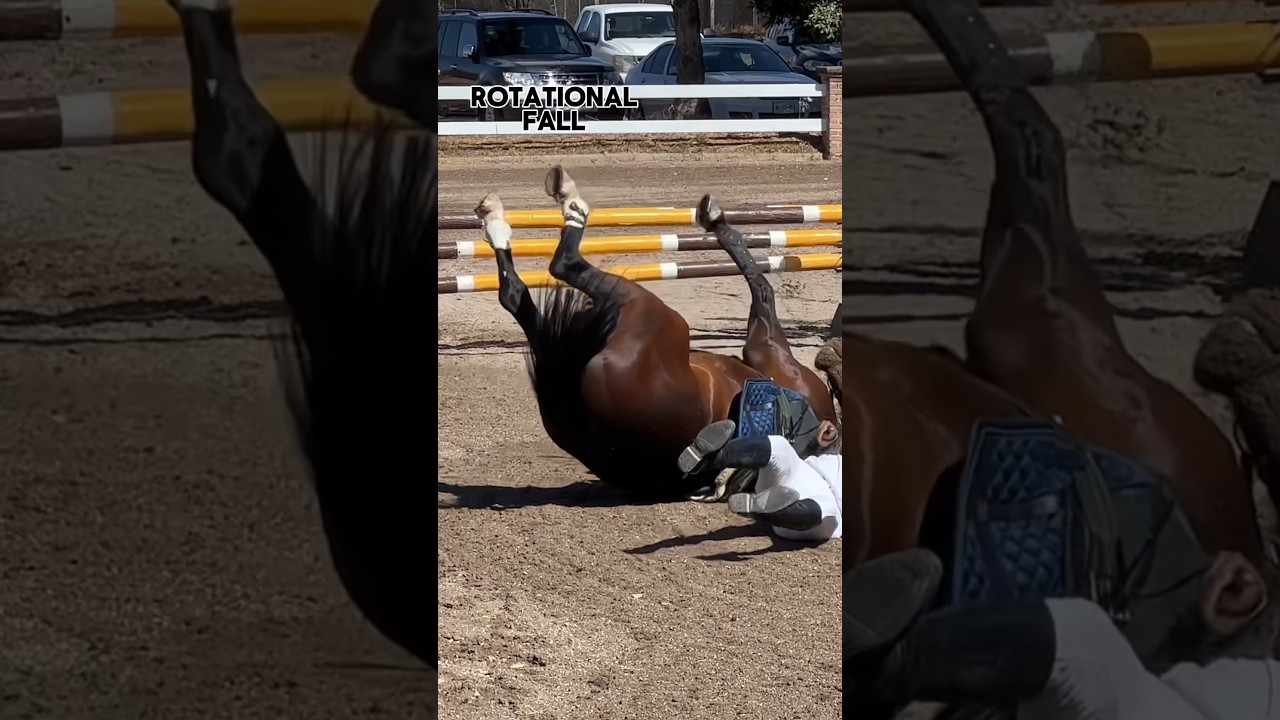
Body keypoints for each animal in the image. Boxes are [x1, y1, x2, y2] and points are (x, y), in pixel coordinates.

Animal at [471, 169, 839, 499]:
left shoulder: (767, 347)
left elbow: (762, 289)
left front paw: (714, 219)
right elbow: (759, 285)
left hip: (648, 313)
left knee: (560, 266)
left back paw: (551, 203)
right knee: (518, 294)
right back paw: (498, 221)